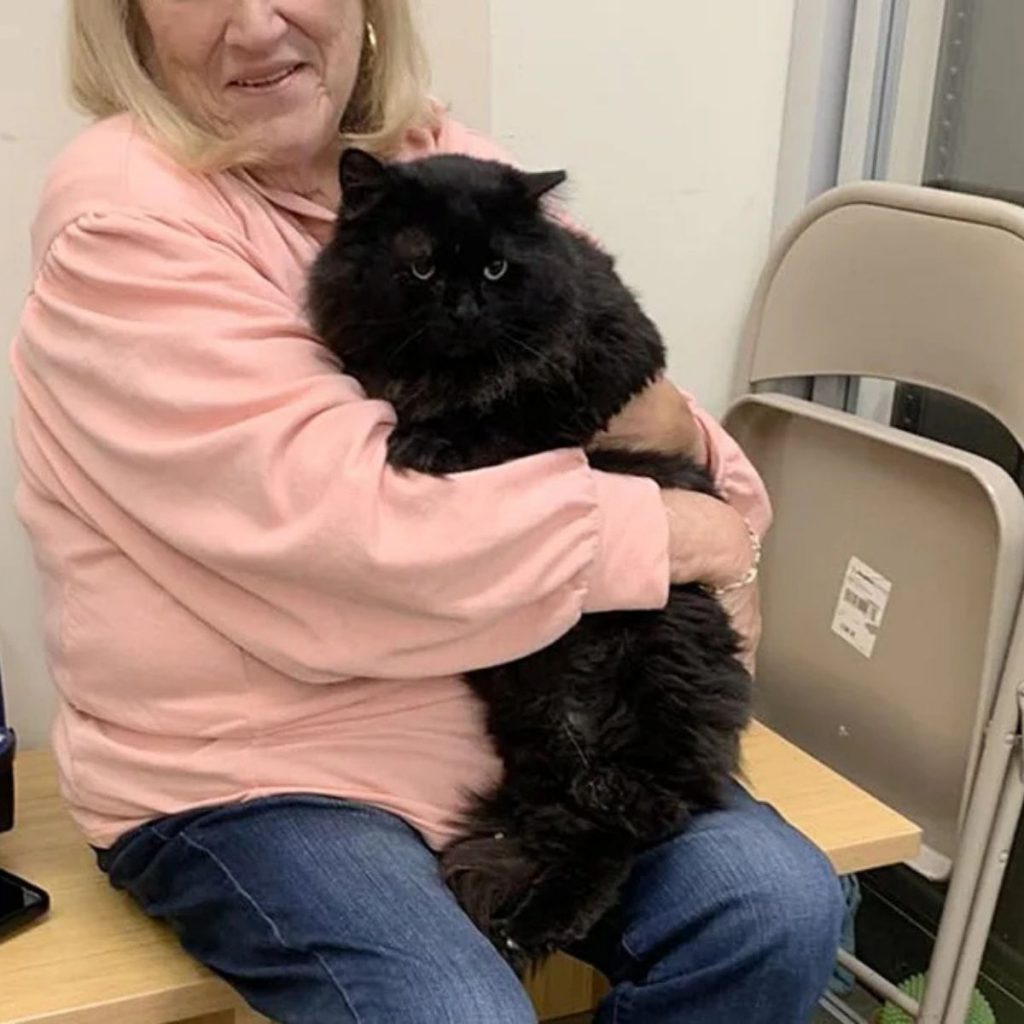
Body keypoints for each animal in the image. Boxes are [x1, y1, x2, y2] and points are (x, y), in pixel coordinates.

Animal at [305, 148, 753, 970]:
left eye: (496, 269)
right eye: (421, 266)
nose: (462, 309)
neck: (451, 370)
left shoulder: (610, 354)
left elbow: (514, 413)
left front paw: (430, 443)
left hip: (660, 676)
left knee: (652, 815)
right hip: (541, 733)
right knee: (595, 835)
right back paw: (529, 923)